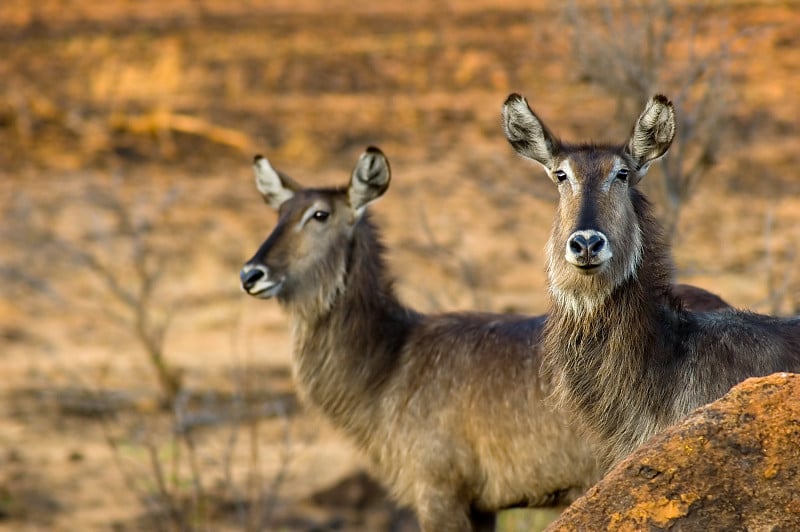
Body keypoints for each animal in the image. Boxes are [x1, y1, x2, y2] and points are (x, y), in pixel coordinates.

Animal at [239, 147, 732, 532]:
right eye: (278, 215)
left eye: (319, 215)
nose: (250, 274)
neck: (389, 364)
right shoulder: (481, 504)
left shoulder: (439, 490)